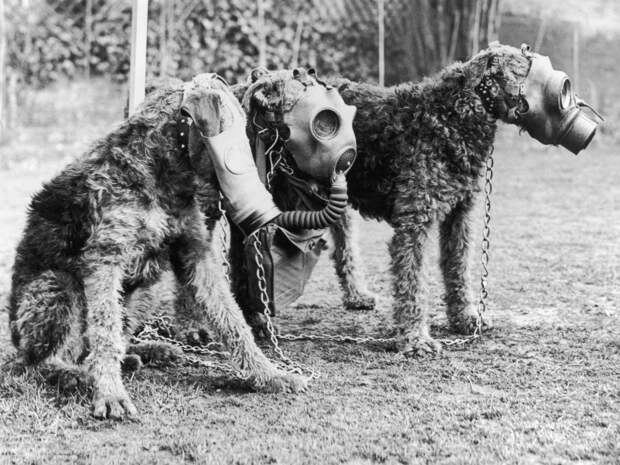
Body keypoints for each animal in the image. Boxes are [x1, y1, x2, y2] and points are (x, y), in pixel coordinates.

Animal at [8, 73, 308, 420]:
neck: (160, 167)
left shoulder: (195, 252)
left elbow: (232, 320)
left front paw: (271, 375)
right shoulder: (105, 259)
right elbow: (105, 332)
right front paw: (110, 394)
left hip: (145, 290)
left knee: (100, 344)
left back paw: (146, 352)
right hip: (57, 286)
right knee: (43, 361)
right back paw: (77, 375)